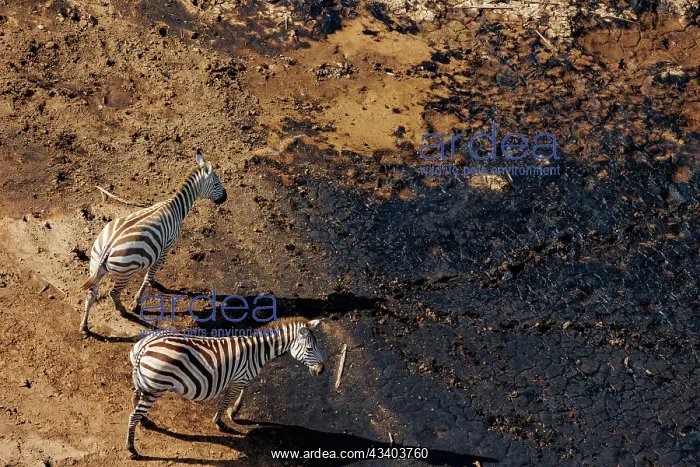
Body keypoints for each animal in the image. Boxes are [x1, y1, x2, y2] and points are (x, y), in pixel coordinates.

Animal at [79, 150, 227, 337]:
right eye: (216, 183)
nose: (226, 197)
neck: (176, 208)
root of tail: (109, 246)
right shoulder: (166, 246)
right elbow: (150, 274)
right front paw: (137, 302)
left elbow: (150, 272)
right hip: (124, 272)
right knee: (113, 293)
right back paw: (122, 310)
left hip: (95, 263)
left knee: (90, 296)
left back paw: (84, 327)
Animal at [126, 317, 325, 459]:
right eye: (309, 349)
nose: (322, 370)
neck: (257, 353)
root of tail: (145, 347)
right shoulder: (238, 379)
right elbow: (226, 401)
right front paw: (220, 422)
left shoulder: (242, 377)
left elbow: (245, 391)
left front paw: (234, 411)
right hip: (154, 387)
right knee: (133, 415)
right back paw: (131, 449)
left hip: (144, 384)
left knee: (135, 400)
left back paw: (145, 421)